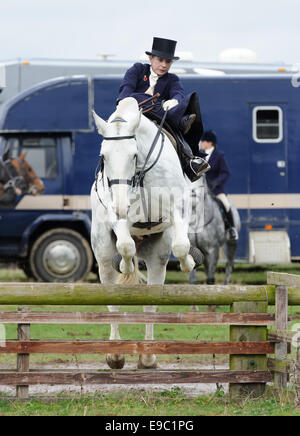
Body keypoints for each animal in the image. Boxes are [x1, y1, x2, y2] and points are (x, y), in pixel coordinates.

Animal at [90, 97, 197, 370]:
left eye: (134, 155)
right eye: (103, 156)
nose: (120, 205)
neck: (142, 174)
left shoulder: (177, 208)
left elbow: (181, 245)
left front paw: (189, 262)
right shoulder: (117, 215)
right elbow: (125, 245)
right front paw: (126, 265)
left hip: (157, 257)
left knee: (151, 302)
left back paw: (148, 357)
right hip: (103, 257)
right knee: (112, 297)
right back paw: (115, 355)